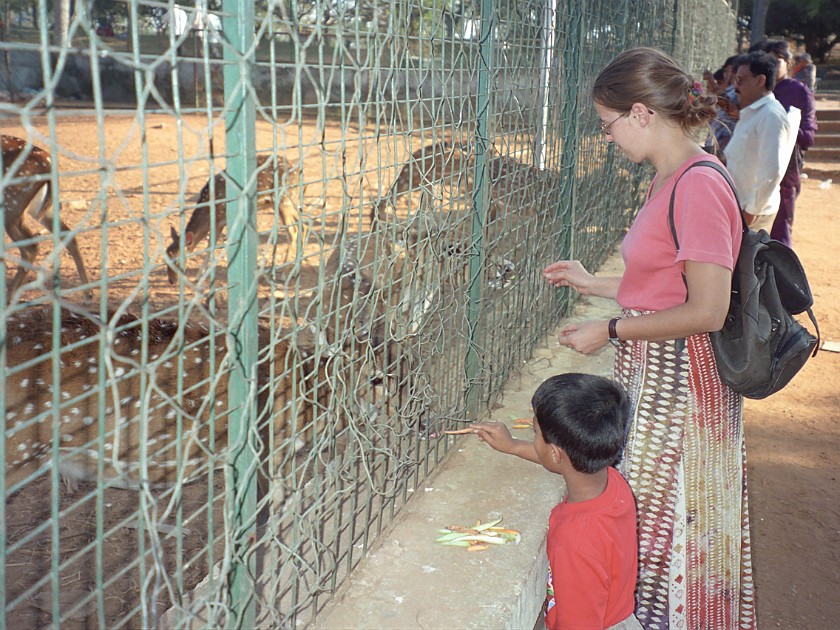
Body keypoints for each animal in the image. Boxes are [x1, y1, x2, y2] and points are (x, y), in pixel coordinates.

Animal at [1, 135, 91, 302]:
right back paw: (88, 293)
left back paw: (8, 298)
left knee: (30, 247)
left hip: (11, 206)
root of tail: (49, 165)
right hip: (43, 208)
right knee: (68, 234)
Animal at [166, 156, 304, 286]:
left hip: (283, 199)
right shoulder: (219, 222)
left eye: (176, 260)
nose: (172, 281)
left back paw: (284, 274)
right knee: (302, 224)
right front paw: (198, 277)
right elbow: (210, 246)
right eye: (165, 258)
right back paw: (295, 271)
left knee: (293, 231)